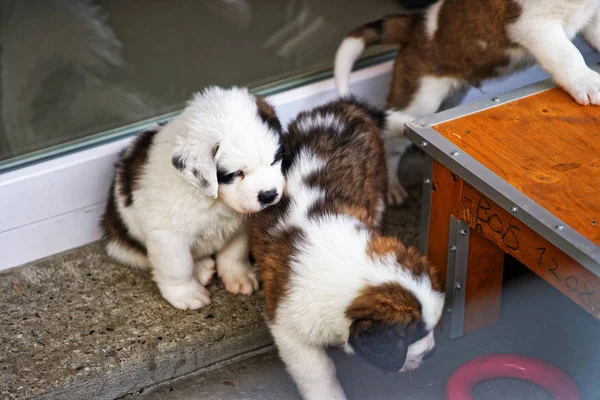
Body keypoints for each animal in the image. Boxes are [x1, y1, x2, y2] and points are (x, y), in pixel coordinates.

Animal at [102, 86, 286, 310]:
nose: (269, 195)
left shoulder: (242, 223)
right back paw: (201, 269)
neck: (212, 199)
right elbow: (178, 266)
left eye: (275, 160)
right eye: (237, 173)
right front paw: (186, 293)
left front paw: (238, 275)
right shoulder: (167, 235)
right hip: (122, 245)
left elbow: (236, 251)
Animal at [336, 0, 600, 205]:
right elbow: (568, 55)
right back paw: (392, 186)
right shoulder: (534, 24)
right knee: (391, 140)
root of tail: (416, 24)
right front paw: (589, 83)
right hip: (420, 97)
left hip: (450, 93)